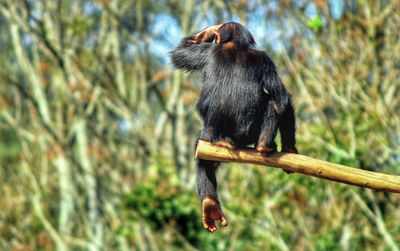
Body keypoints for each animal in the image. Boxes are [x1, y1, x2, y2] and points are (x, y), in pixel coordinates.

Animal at [170, 22, 298, 232]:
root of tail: (226, 139)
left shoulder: (204, 52)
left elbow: (181, 52)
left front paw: (211, 31)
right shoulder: (265, 59)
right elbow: (283, 101)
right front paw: (290, 149)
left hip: (208, 138)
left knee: (203, 158)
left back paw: (209, 204)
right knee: (272, 102)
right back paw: (264, 146)